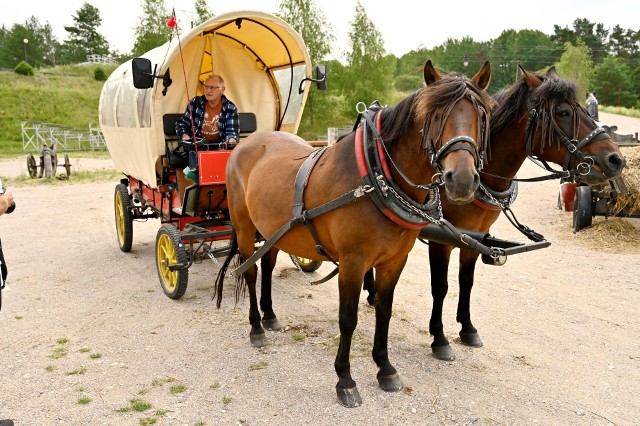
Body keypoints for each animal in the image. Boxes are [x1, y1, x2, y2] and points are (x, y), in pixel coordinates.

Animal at [218, 61, 492, 408]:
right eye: (435, 114)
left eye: (481, 116)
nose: (463, 180)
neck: (376, 178)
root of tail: (247, 142)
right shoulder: (352, 262)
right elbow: (347, 318)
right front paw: (345, 379)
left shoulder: (394, 261)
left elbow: (385, 311)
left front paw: (385, 368)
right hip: (243, 226)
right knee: (251, 271)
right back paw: (256, 327)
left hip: (273, 230)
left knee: (267, 264)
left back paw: (269, 315)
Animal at [368, 65, 628, 362]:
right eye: (563, 112)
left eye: (585, 109)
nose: (616, 159)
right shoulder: (441, 240)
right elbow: (441, 286)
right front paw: (439, 338)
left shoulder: (474, 236)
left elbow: (466, 282)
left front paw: (467, 329)